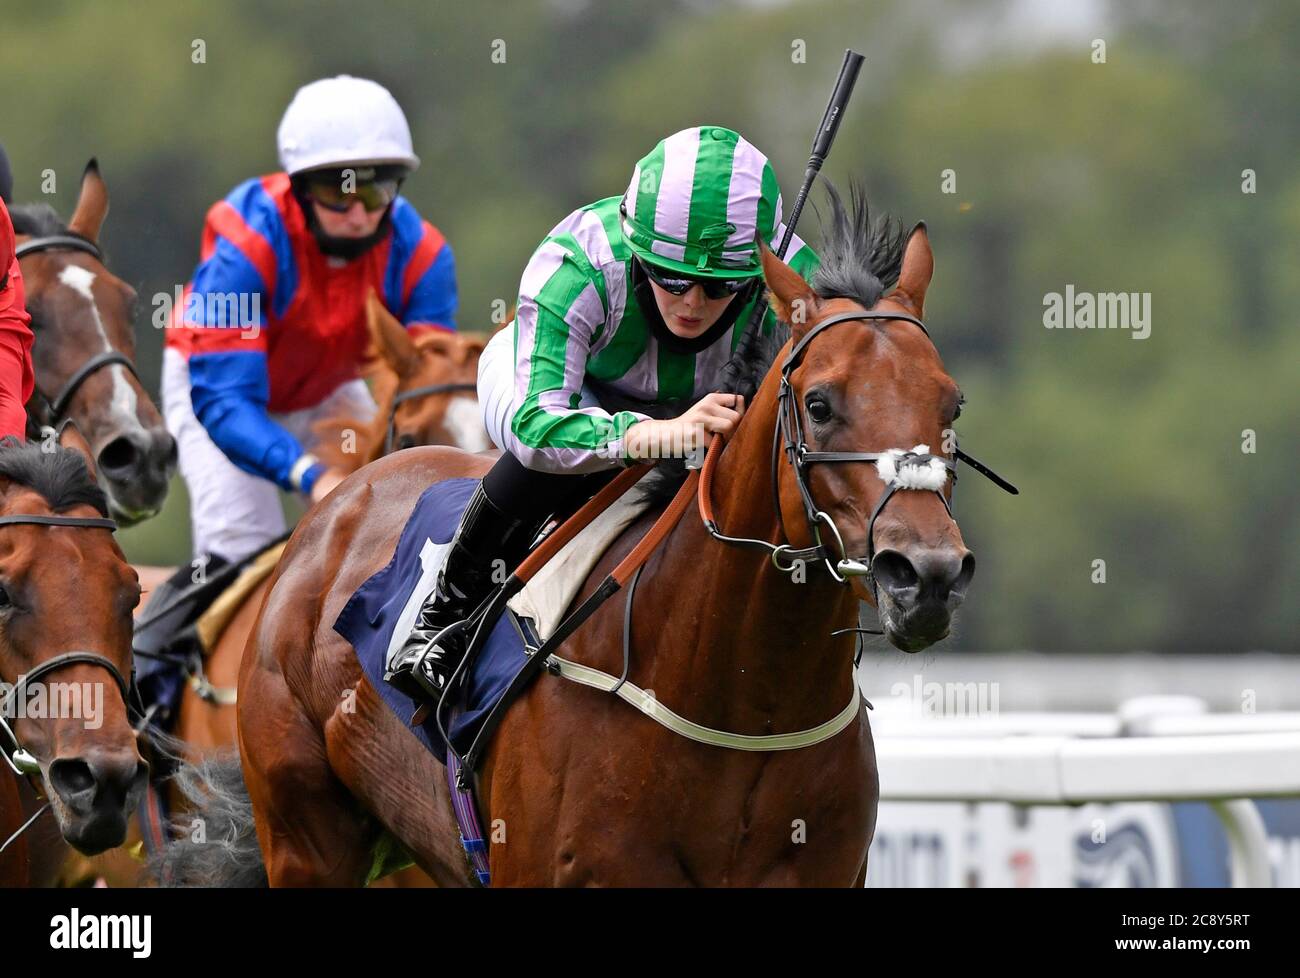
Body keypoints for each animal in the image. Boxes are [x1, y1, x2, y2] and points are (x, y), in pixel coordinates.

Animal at [172, 188, 982, 884]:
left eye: (952, 403)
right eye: (819, 403)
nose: (927, 575)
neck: (742, 697)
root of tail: (336, 510)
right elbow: (541, 422)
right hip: (303, 833)